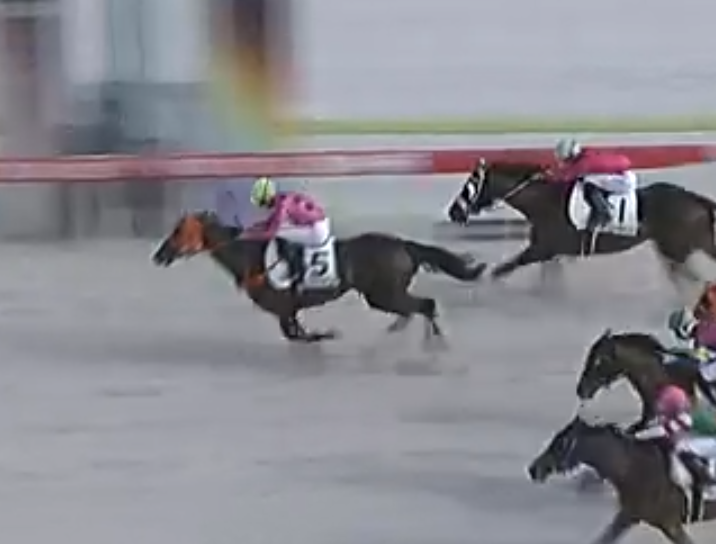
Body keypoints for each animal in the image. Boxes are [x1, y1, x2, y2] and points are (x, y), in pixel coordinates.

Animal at [151, 211, 487, 343]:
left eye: (178, 231)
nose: (159, 256)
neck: (250, 257)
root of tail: (404, 245)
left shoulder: (283, 306)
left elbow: (297, 335)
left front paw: (326, 334)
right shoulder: (288, 310)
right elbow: (295, 333)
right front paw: (322, 334)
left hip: (383, 293)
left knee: (426, 305)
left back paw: (434, 342)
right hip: (382, 295)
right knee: (416, 308)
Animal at [447, 159, 716, 289]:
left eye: (470, 183)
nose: (453, 212)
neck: (544, 201)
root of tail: (694, 199)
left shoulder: (542, 249)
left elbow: (504, 268)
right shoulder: (550, 253)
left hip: (677, 246)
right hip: (680, 244)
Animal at [528, 414, 716, 544]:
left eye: (561, 444)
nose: (533, 469)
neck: (633, 467)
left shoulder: (670, 524)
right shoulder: (628, 515)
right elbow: (604, 538)